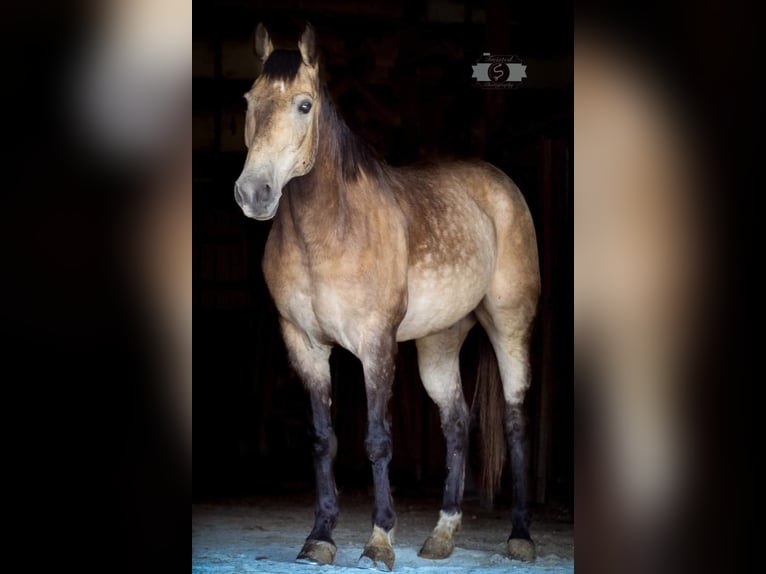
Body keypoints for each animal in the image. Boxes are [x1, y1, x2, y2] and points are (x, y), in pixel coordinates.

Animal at [234, 22, 540, 572]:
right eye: (249, 100)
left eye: (304, 105)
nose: (254, 194)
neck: (331, 228)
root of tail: (499, 185)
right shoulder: (304, 345)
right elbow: (323, 440)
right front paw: (320, 537)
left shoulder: (375, 344)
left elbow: (378, 440)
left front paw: (379, 541)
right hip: (439, 342)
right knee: (457, 422)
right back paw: (442, 534)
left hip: (510, 325)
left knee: (514, 420)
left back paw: (521, 536)